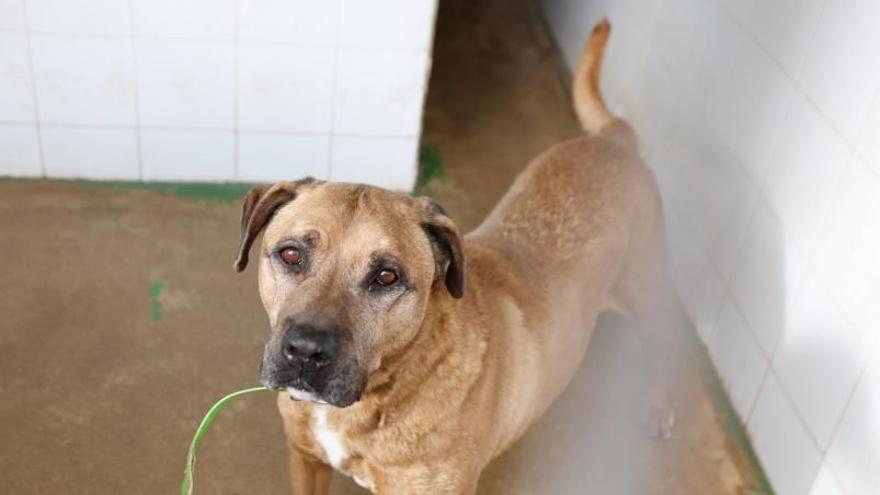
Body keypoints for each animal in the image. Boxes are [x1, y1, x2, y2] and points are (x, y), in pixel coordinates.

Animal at [234, 21, 680, 494]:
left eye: (387, 276)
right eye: (290, 254)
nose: (304, 352)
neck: (387, 387)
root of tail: (614, 140)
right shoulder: (305, 459)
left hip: (648, 289)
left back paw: (659, 405)